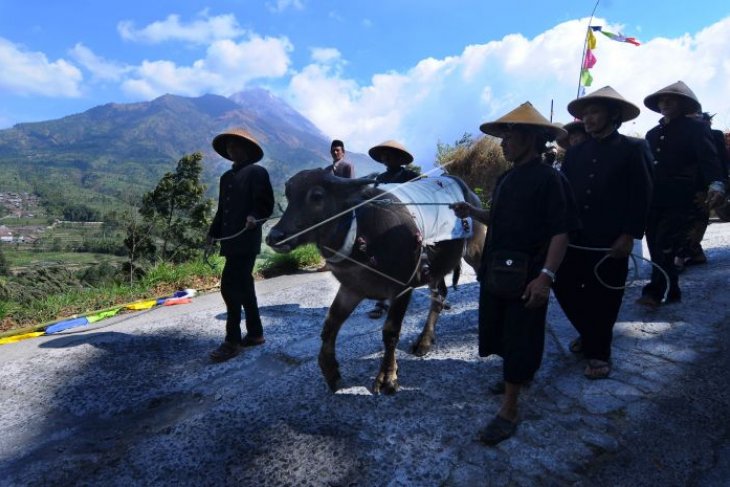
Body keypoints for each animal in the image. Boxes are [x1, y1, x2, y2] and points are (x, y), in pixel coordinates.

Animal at [266, 170, 484, 394]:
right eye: (289, 194)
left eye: (317, 196)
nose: (275, 236)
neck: (362, 235)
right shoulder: (351, 288)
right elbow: (330, 325)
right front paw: (330, 371)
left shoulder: (402, 287)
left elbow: (390, 331)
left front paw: (387, 377)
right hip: (435, 268)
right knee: (439, 296)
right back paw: (424, 341)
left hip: (475, 250)